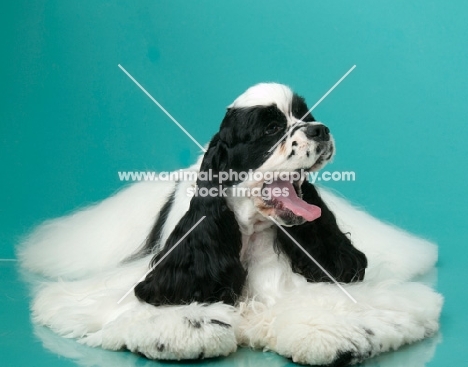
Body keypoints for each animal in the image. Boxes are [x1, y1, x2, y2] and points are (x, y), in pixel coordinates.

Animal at [18, 83, 442, 367]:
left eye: (306, 117)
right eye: (271, 129)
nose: (320, 129)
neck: (247, 234)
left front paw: (337, 332)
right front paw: (191, 327)